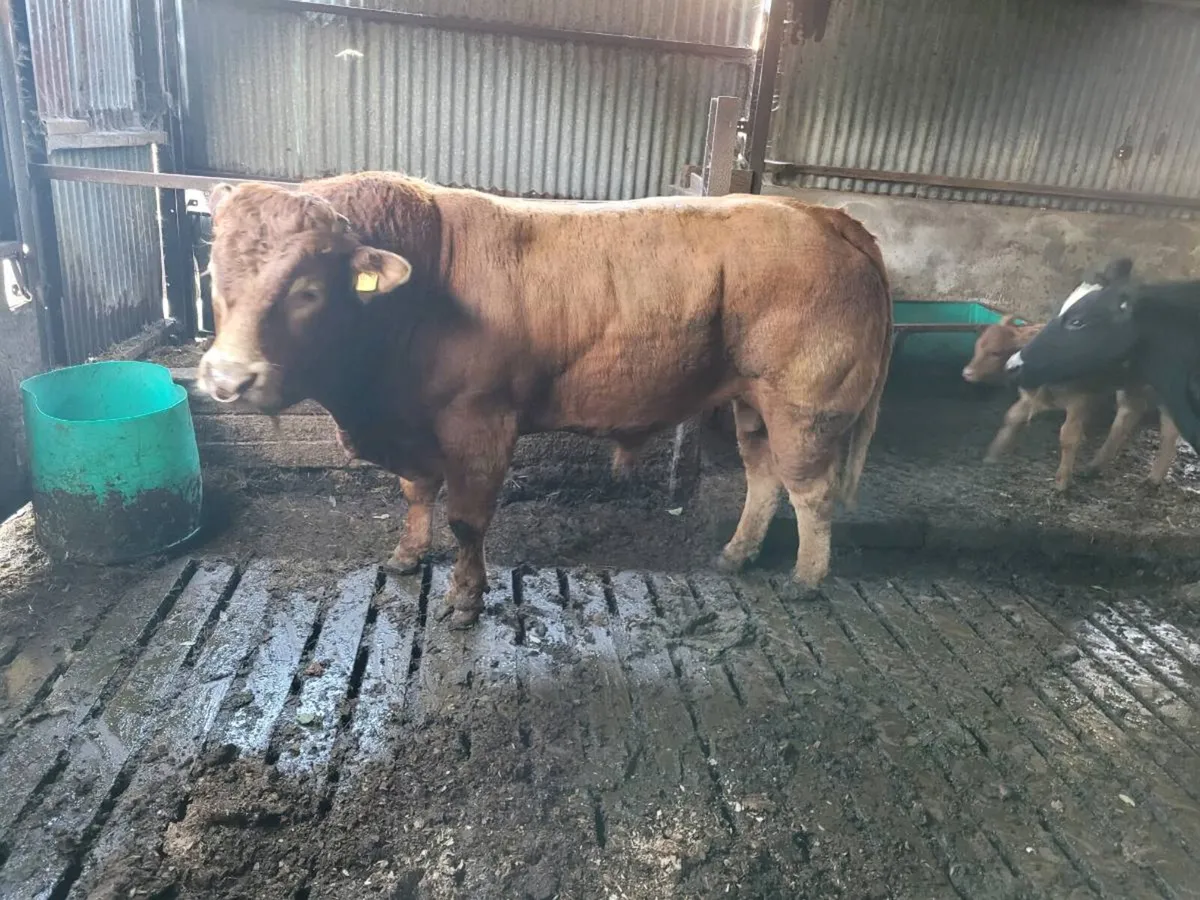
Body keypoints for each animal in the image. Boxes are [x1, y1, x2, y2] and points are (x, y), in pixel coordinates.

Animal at [196, 173, 893, 627]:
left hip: (805, 407)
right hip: (753, 401)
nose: (227, 376)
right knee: (764, 477)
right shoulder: (410, 427)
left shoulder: (479, 421)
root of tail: (818, 214)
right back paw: (737, 553)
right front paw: (405, 556)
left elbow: (466, 518)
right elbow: (417, 492)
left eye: (308, 289)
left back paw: (806, 579)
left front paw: (464, 597)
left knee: (810, 491)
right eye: (213, 274)